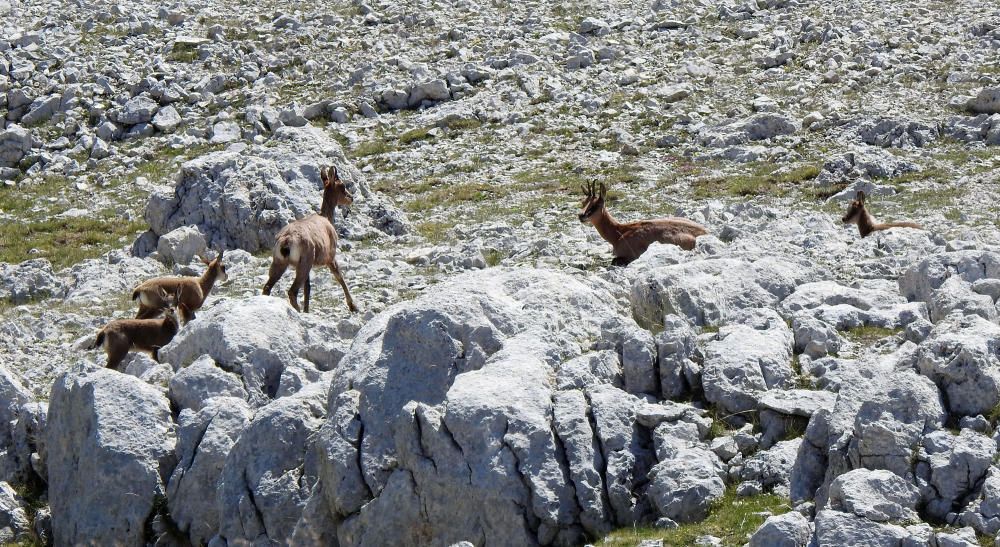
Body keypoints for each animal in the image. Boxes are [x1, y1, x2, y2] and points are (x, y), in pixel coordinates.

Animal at [262, 166, 360, 312]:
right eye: (342, 185)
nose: (351, 198)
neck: (325, 217)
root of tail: (286, 240)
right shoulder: (330, 257)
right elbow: (339, 277)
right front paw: (352, 305)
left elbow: (307, 288)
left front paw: (307, 310)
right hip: (304, 263)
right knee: (292, 291)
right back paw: (297, 311)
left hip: (280, 262)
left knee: (268, 287)